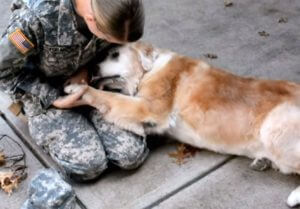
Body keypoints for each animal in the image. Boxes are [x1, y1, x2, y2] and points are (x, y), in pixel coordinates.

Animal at [66, 41, 300, 207]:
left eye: (115, 54)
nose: (92, 68)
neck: (150, 69)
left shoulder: (149, 108)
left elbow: (109, 97)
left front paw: (78, 89)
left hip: (274, 129)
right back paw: (263, 161)